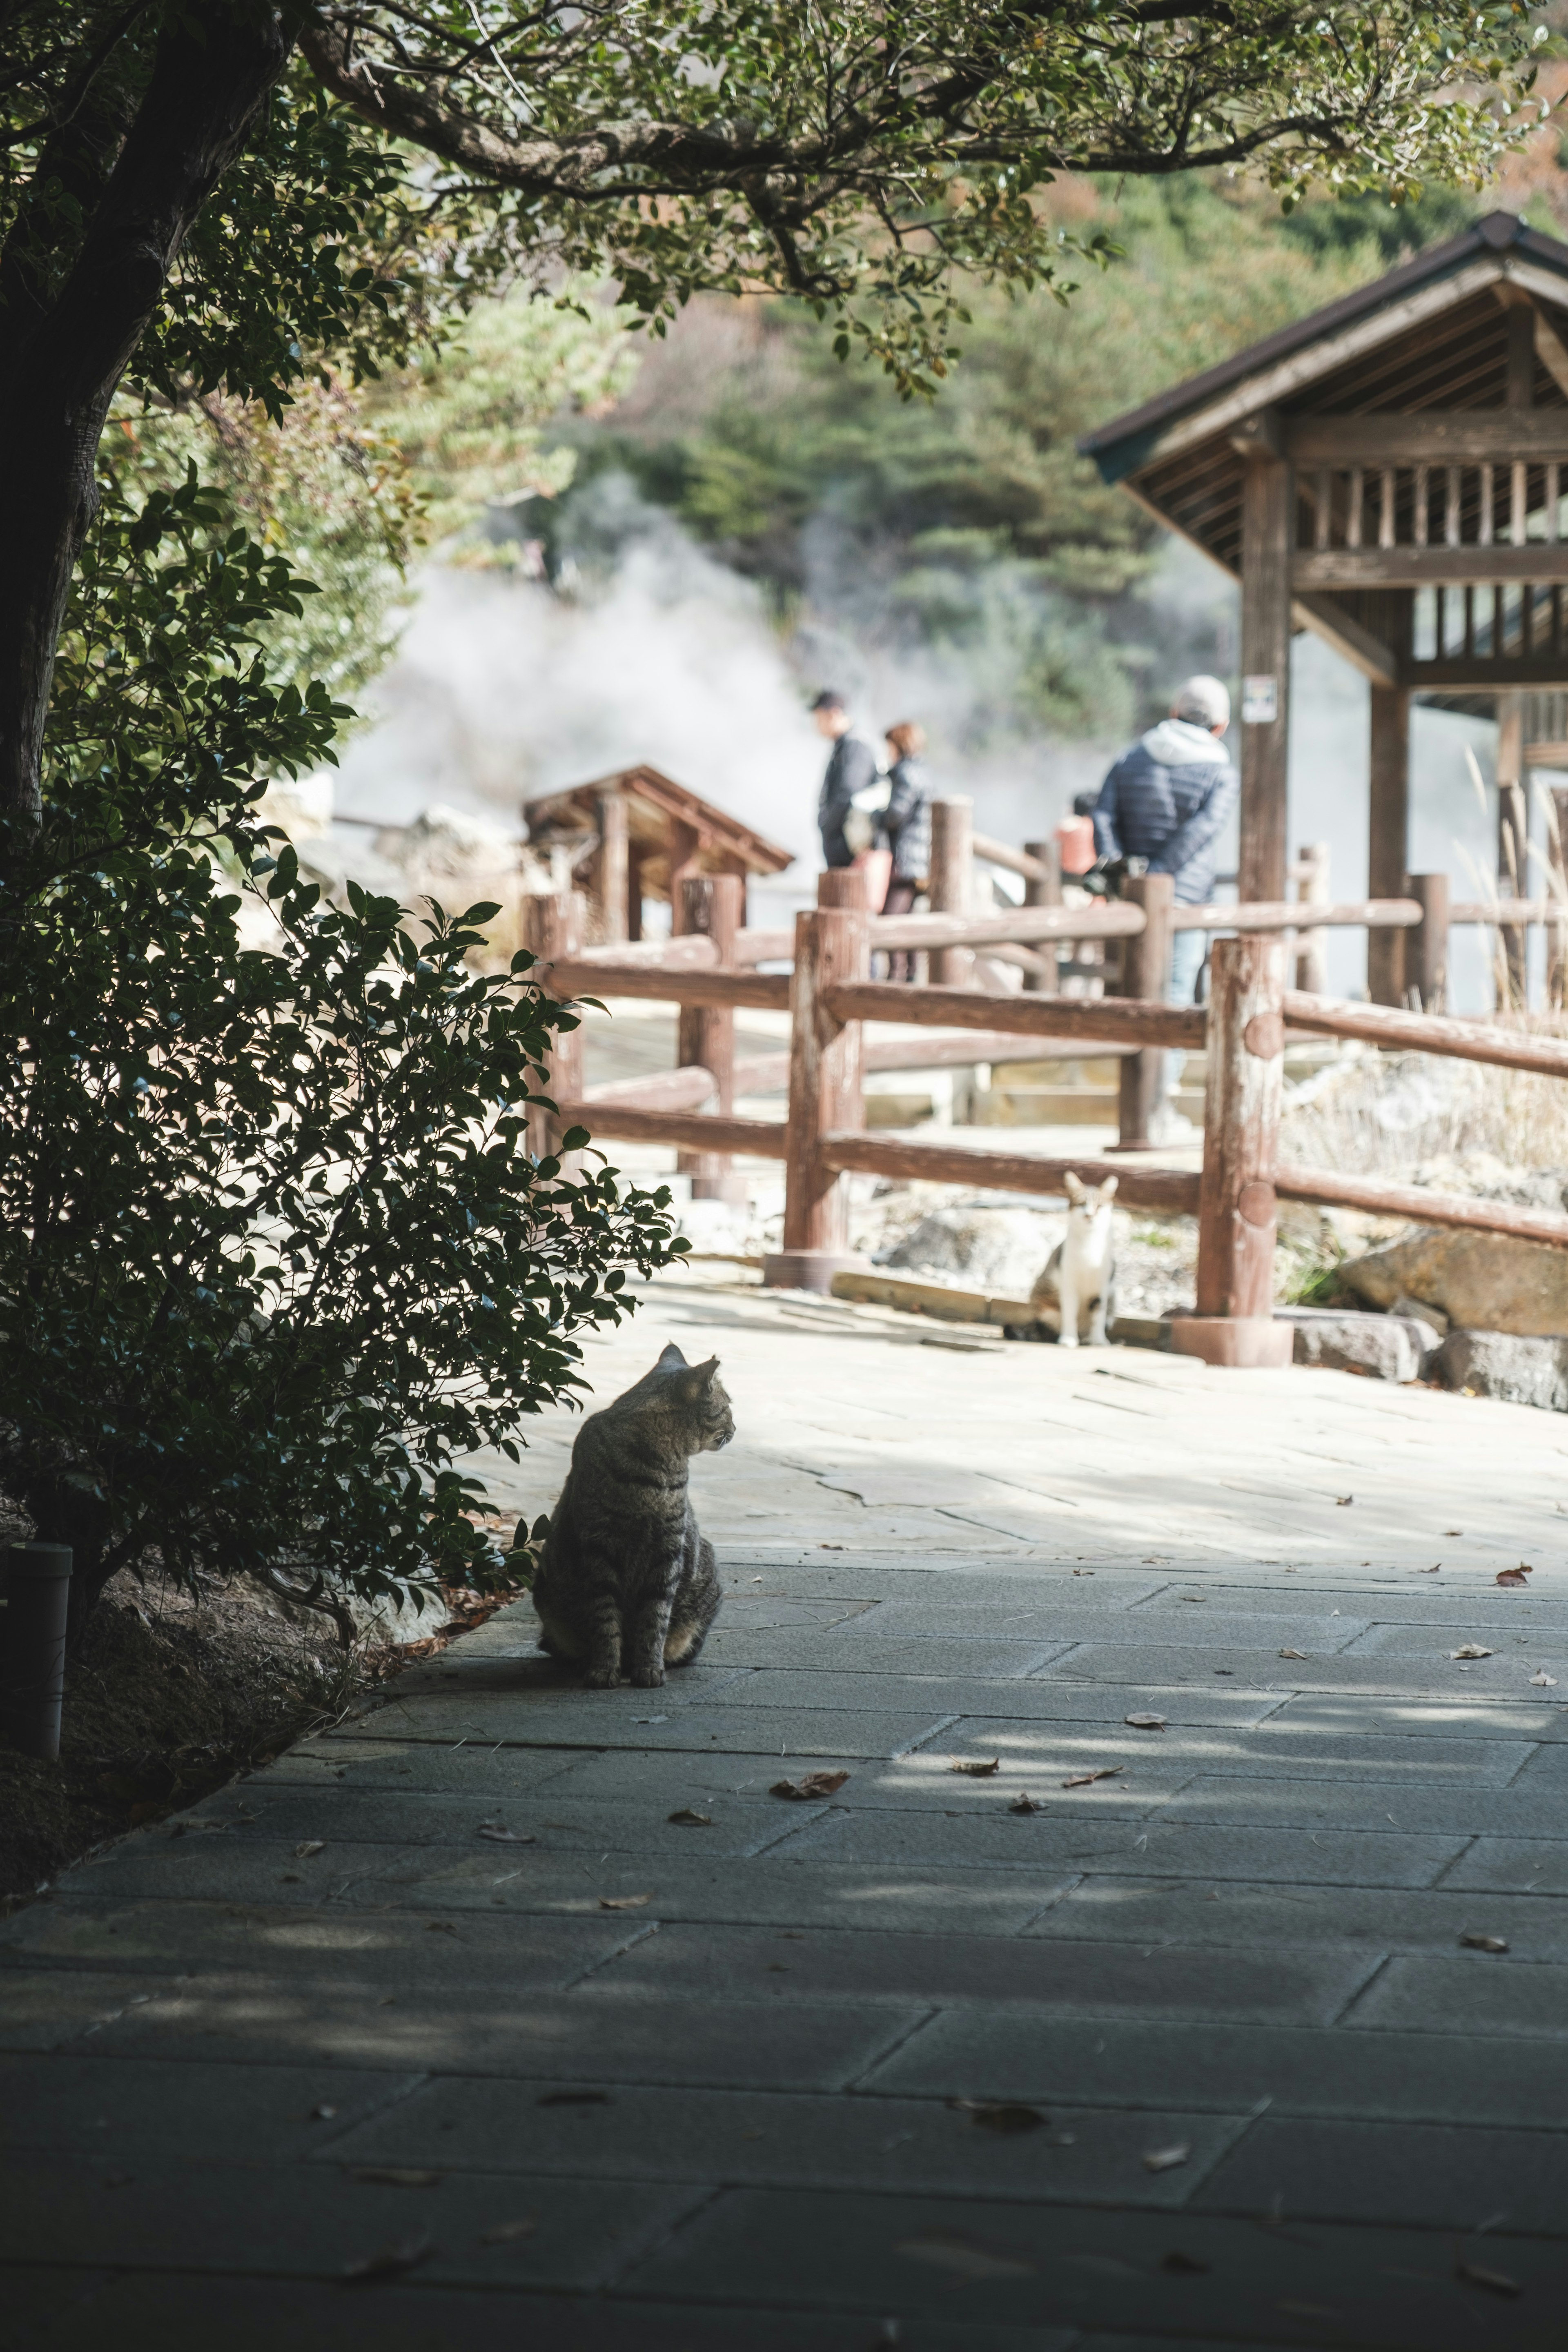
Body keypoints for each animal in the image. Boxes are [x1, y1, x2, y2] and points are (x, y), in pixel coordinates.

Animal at [522, 1345, 728, 1693]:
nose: (736, 1429)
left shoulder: (668, 1550)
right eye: (728, 1408)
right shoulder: (597, 1549)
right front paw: (605, 1669)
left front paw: (649, 1668)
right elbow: (606, 1619)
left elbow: (655, 1618)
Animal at [1029, 1171, 1114, 1354]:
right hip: (1044, 1299)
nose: (1089, 1215)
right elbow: (1070, 1312)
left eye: (1099, 1206)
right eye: (1081, 1205)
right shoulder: (1068, 1282)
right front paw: (1068, 1339)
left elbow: (1099, 1314)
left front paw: (1099, 1340)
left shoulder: (1102, 1285)